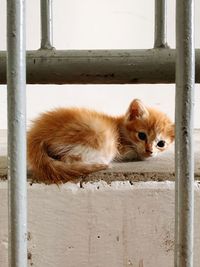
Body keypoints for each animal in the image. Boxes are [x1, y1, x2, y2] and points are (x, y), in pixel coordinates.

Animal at [27, 99, 174, 185]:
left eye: (161, 144)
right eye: (142, 135)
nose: (149, 151)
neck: (120, 128)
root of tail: (37, 135)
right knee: (68, 159)